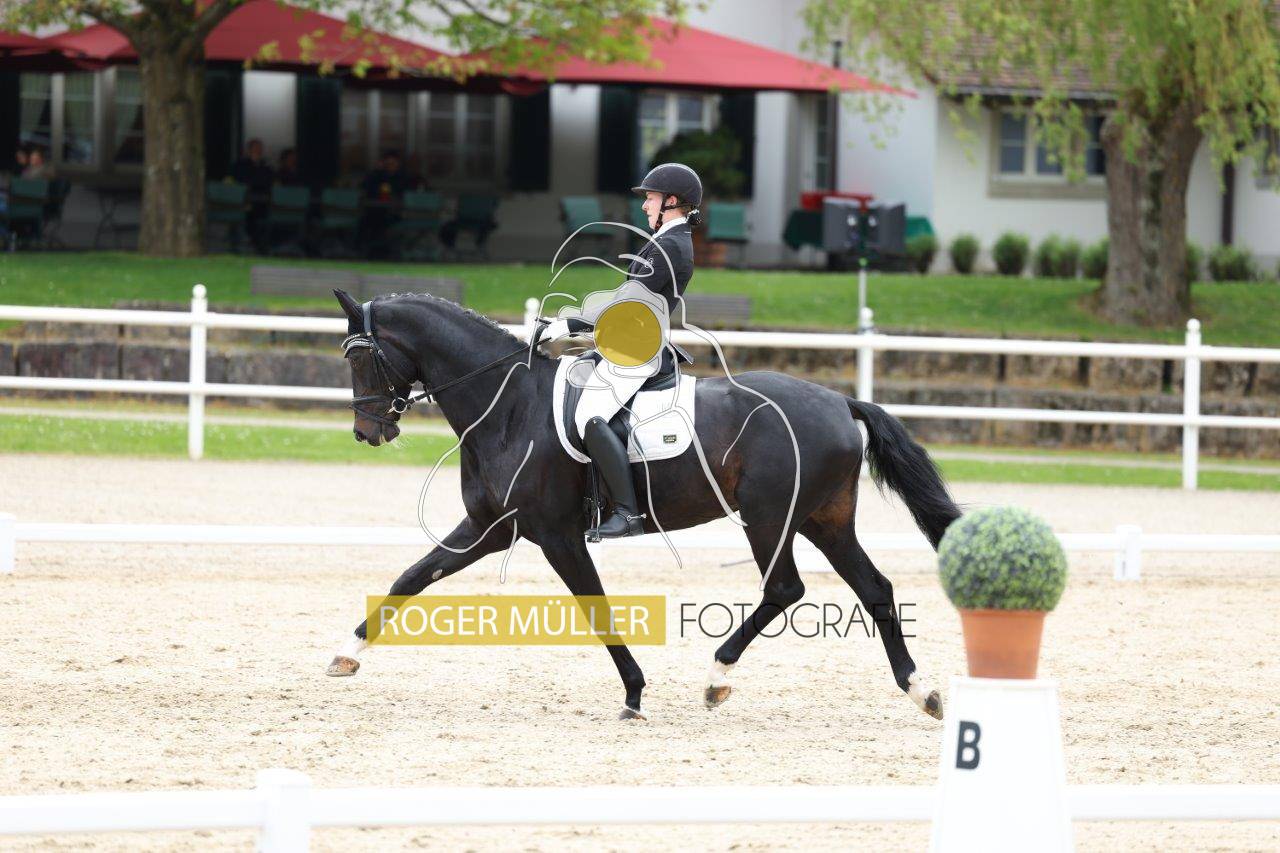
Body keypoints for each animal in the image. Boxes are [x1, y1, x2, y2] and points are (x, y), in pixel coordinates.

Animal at [327, 288, 960, 722]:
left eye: (360, 359)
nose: (366, 431)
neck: (507, 405)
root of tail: (840, 402)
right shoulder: (491, 527)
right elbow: (413, 576)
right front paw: (346, 653)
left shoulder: (556, 536)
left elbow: (596, 608)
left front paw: (633, 692)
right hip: (824, 520)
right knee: (874, 589)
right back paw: (920, 689)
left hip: (769, 518)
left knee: (785, 589)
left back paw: (716, 676)